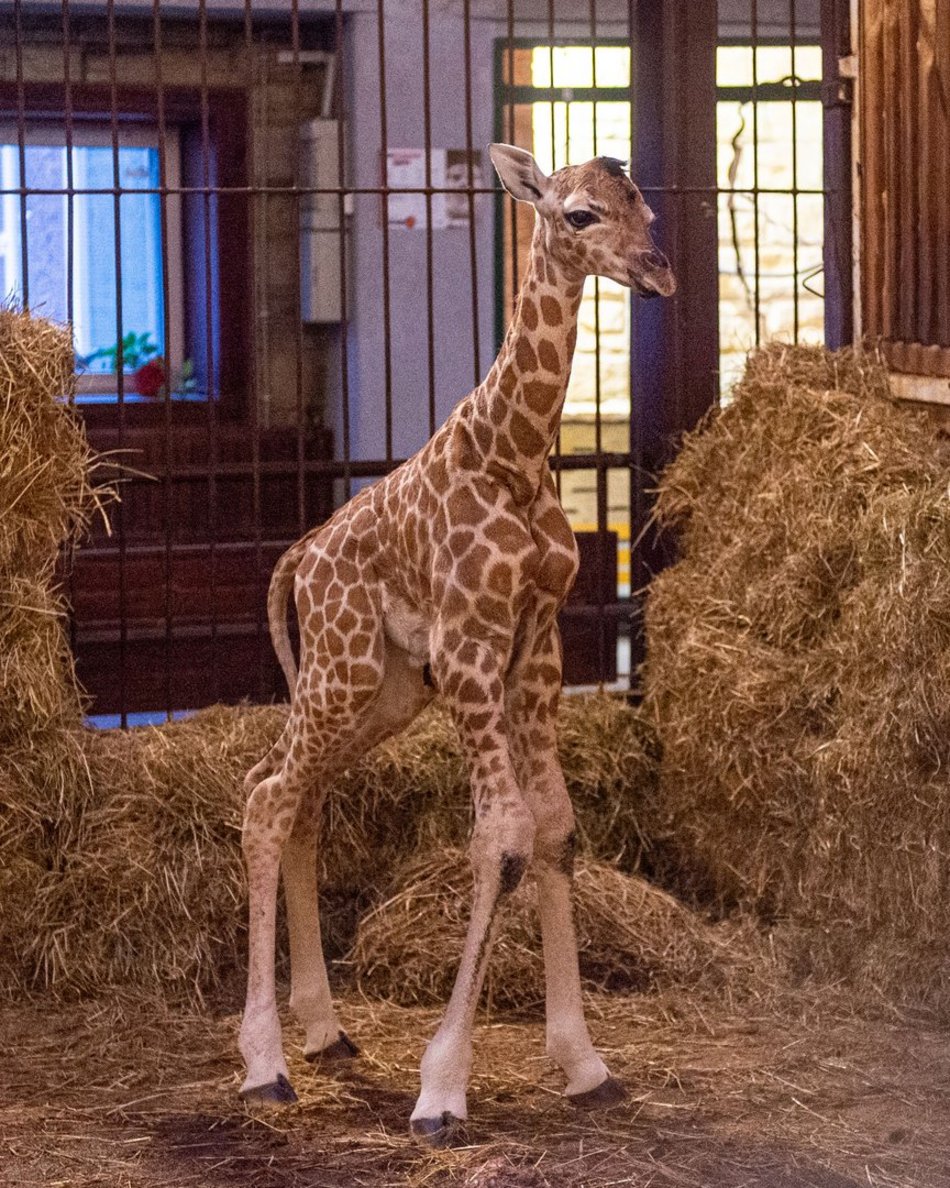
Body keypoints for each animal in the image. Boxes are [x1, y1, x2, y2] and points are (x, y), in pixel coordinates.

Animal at [241, 143, 679, 1145]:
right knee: (268, 796)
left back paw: (323, 1031)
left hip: (385, 689)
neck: (515, 454)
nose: (659, 272)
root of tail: (300, 558)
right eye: (579, 214)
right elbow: (504, 838)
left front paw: (584, 1064)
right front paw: (442, 1091)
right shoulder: (473, 645)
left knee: (293, 796)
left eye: (647, 205)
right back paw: (262, 1065)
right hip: (343, 667)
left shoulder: (537, 646)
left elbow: (555, 827)